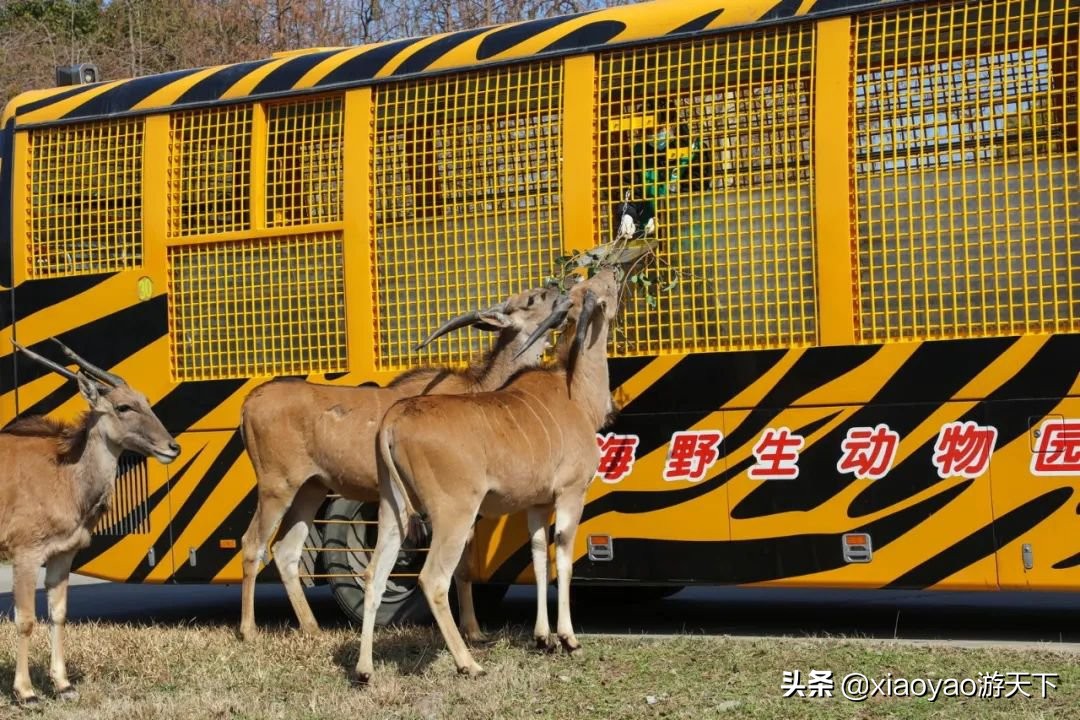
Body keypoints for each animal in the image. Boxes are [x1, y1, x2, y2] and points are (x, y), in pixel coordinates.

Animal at [0, 338, 179, 703]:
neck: (64, 473)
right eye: (124, 407)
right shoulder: (25, 555)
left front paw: (63, 685)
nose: (172, 447)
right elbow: (26, 619)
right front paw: (26, 692)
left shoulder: (61, 555)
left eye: (146, 401)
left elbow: (58, 614)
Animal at [238, 280, 574, 643]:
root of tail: (250, 403)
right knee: (252, 544)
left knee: (285, 550)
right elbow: (453, 567)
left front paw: (473, 631)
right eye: (532, 299)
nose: (559, 287)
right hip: (276, 487)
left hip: (310, 488)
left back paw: (313, 630)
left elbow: (465, 567)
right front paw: (467, 631)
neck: (479, 390)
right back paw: (249, 630)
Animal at [356, 268, 617, 682]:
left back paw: (364, 669)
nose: (610, 270)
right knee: (433, 578)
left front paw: (542, 639)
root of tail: (392, 420)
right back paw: (468, 663)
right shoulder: (571, 494)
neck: (573, 393)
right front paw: (568, 639)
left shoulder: (537, 504)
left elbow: (539, 557)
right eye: (604, 287)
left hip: (392, 510)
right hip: (454, 513)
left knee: (374, 575)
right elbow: (562, 557)